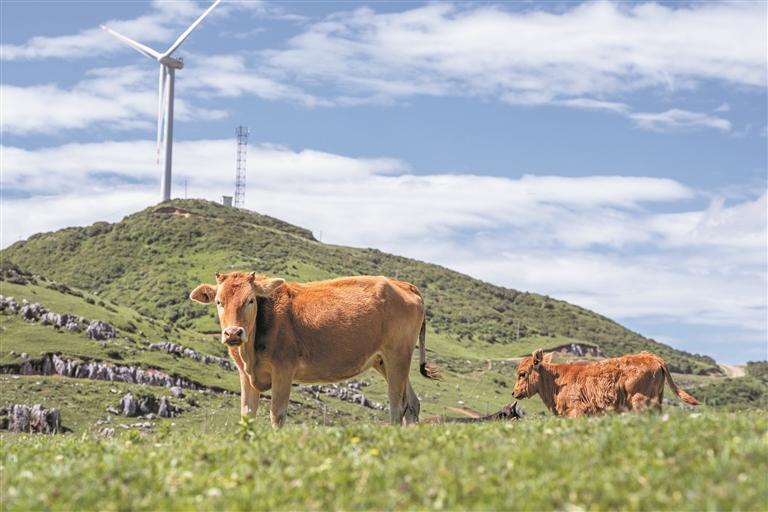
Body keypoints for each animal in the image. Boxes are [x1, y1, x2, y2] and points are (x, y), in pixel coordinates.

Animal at [189, 272, 436, 428]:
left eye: (250, 300)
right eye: (219, 301)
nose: (233, 333)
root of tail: (403, 284)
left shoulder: (284, 371)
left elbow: (277, 415)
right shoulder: (245, 374)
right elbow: (247, 415)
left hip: (398, 354)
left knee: (397, 406)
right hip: (383, 360)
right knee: (412, 404)